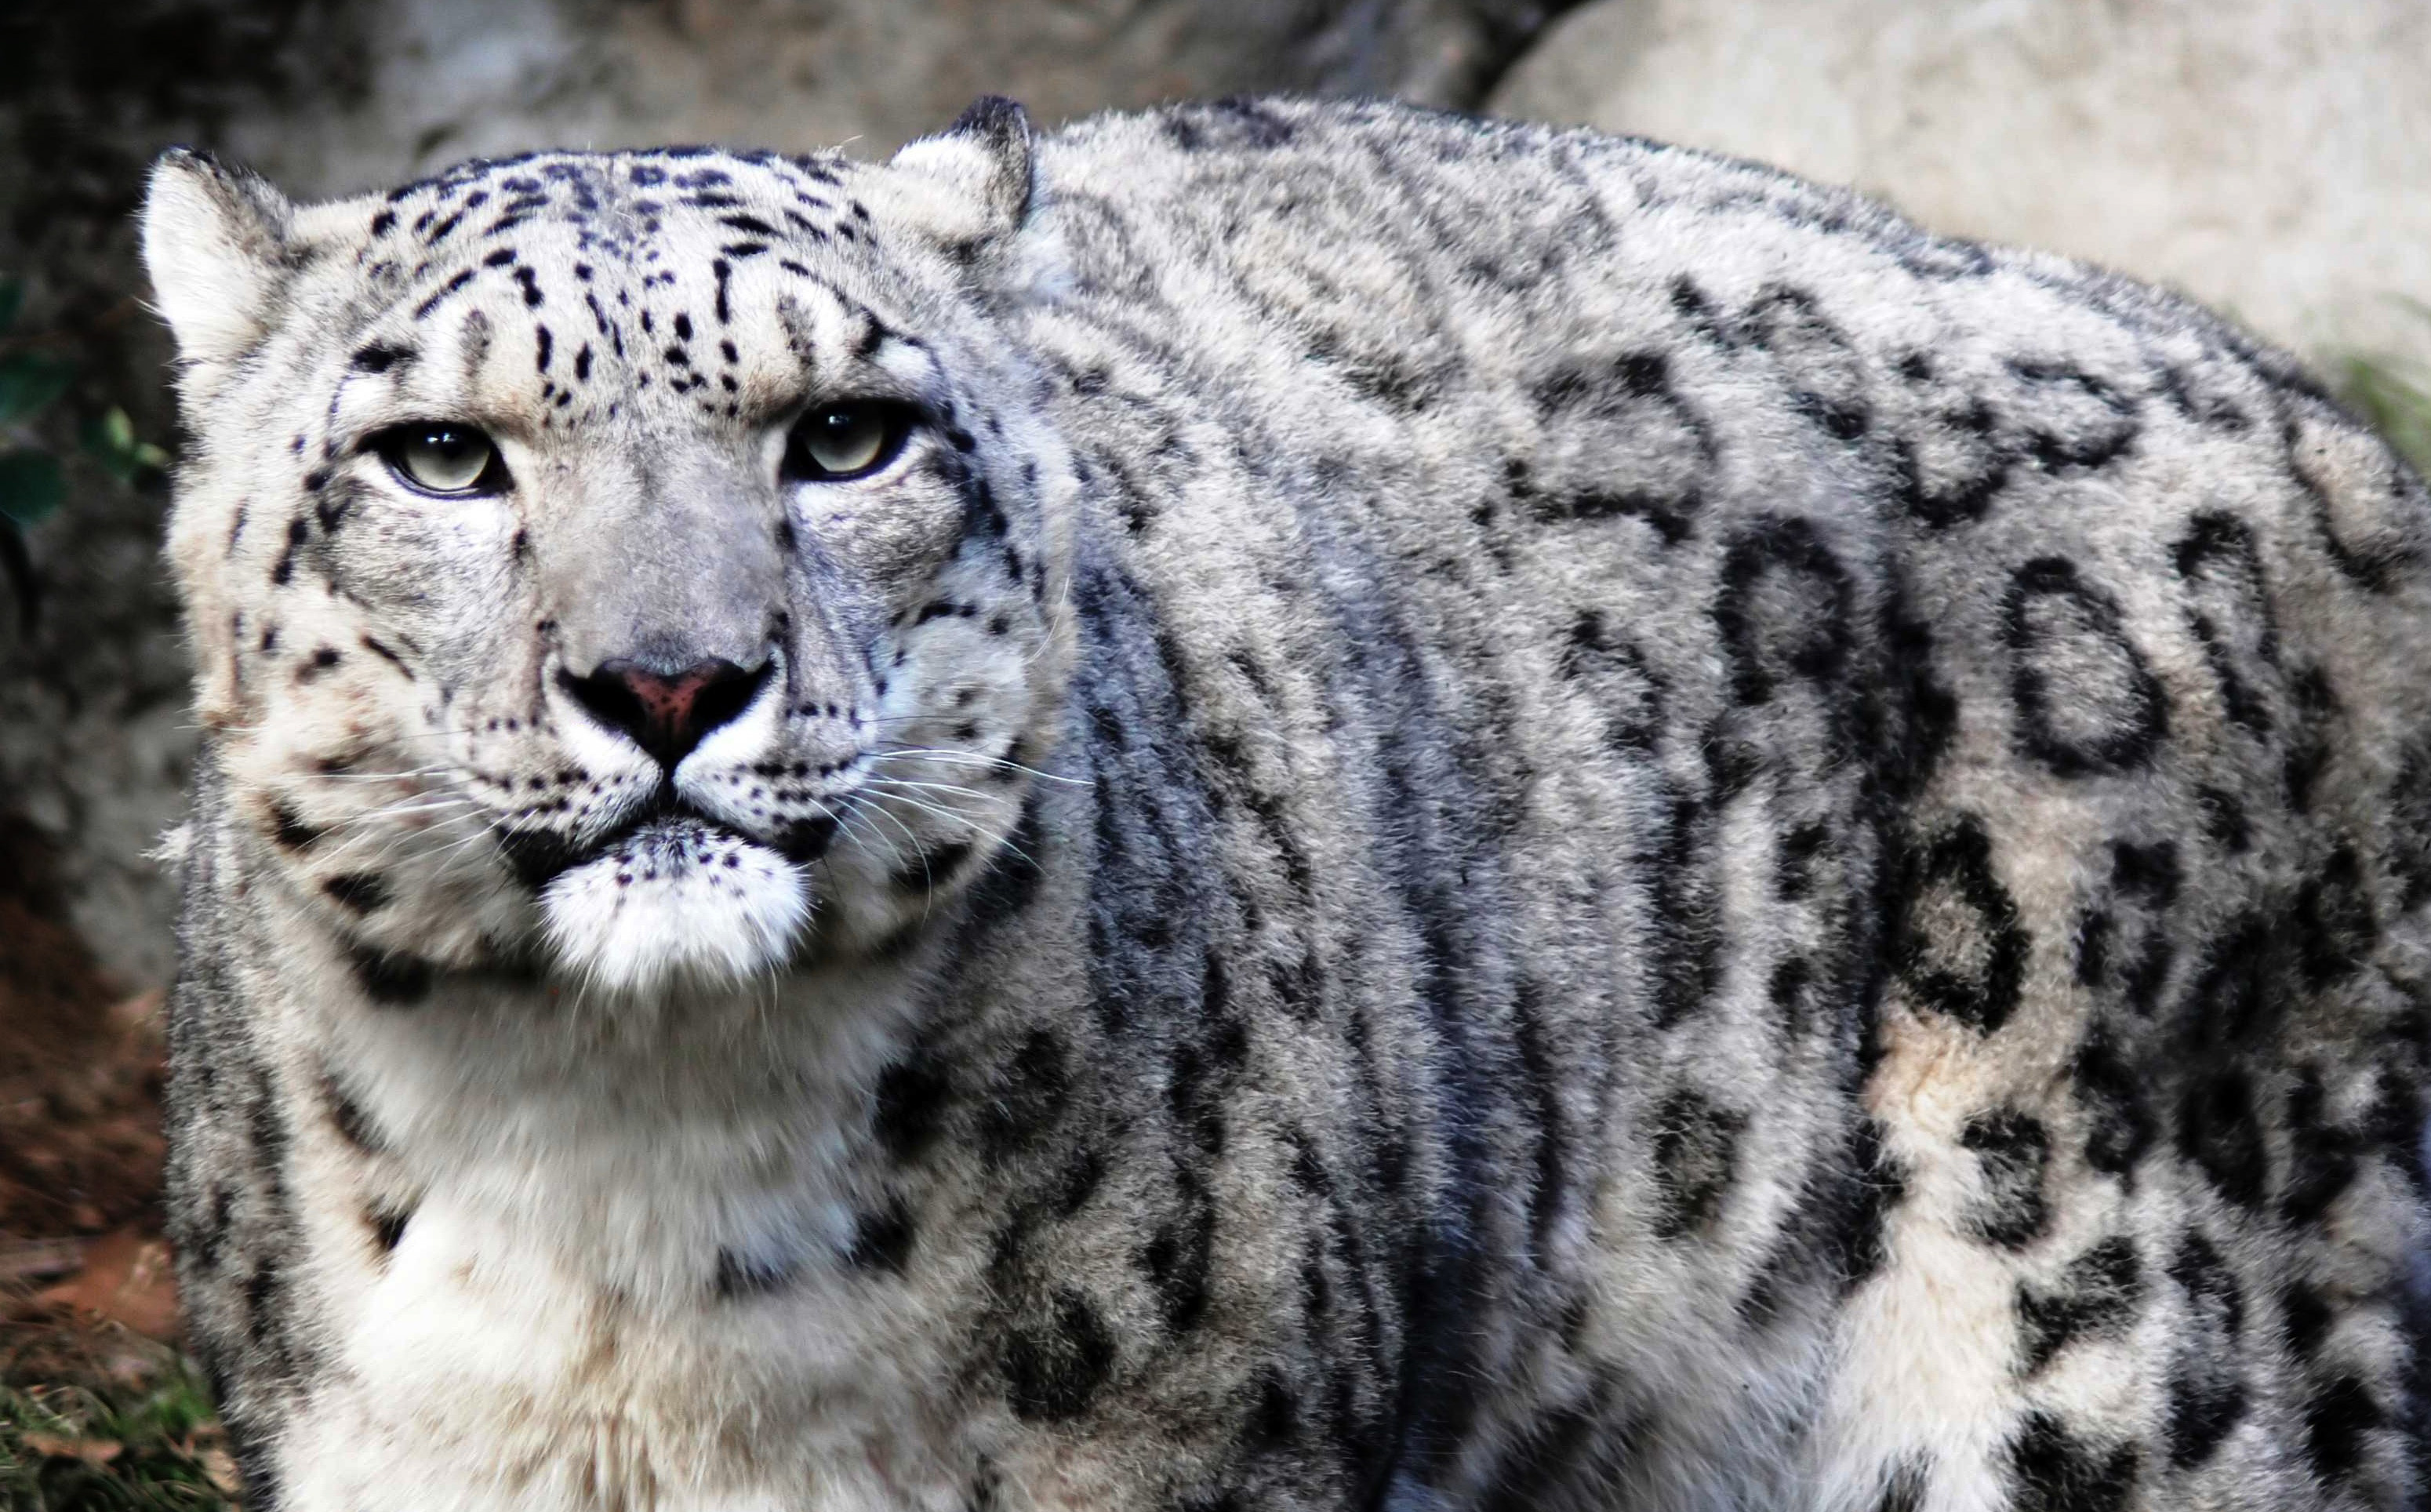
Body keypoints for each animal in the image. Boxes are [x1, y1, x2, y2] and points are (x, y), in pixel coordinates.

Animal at [137, 97, 2431, 1512]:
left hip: (2125, 1352)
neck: (625, 1189)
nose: (673, 681)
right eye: (443, 456)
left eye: (848, 435)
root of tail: (2324, 431)